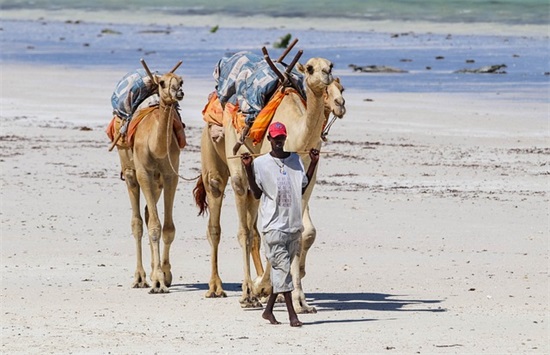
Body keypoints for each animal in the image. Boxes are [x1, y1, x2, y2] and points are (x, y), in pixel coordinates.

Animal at [115, 64, 187, 294]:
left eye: (181, 81)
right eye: (162, 83)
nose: (178, 92)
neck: (155, 146)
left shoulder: (171, 175)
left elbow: (167, 228)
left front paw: (165, 275)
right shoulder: (144, 173)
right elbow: (154, 227)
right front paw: (157, 282)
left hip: (157, 183)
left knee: (148, 214)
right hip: (130, 172)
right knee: (138, 222)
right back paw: (140, 278)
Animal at [194, 57, 340, 310]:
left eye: (330, 65)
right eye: (310, 68)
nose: (326, 75)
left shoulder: (306, 181)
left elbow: (300, 232)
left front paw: (298, 300)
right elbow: (263, 231)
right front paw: (258, 290)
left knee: (253, 231)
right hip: (220, 162)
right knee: (224, 224)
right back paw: (222, 289)